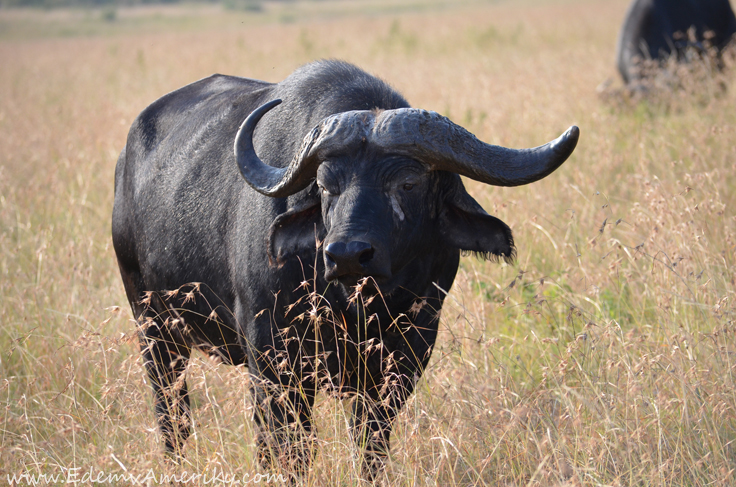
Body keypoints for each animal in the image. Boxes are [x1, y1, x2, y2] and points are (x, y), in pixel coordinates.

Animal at [112, 58, 576, 480]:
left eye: (408, 183)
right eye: (324, 184)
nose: (348, 254)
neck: (354, 305)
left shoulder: (402, 361)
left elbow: (371, 447)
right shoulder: (271, 360)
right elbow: (287, 450)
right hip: (153, 327)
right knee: (172, 414)